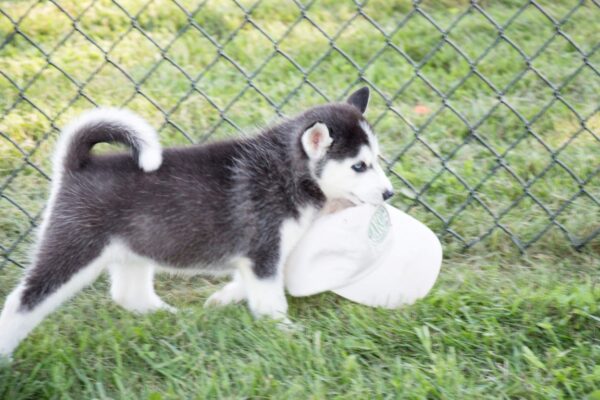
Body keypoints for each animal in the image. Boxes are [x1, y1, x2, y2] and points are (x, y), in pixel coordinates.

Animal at [0, 87, 394, 356]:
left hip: (134, 248)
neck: (287, 172)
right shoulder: (264, 251)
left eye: (376, 159)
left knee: (128, 294)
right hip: (73, 249)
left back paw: (172, 317)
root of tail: (77, 165)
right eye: (359, 166)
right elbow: (271, 296)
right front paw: (284, 329)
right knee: (22, 301)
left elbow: (254, 284)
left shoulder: (262, 257)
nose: (389, 193)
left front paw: (222, 299)